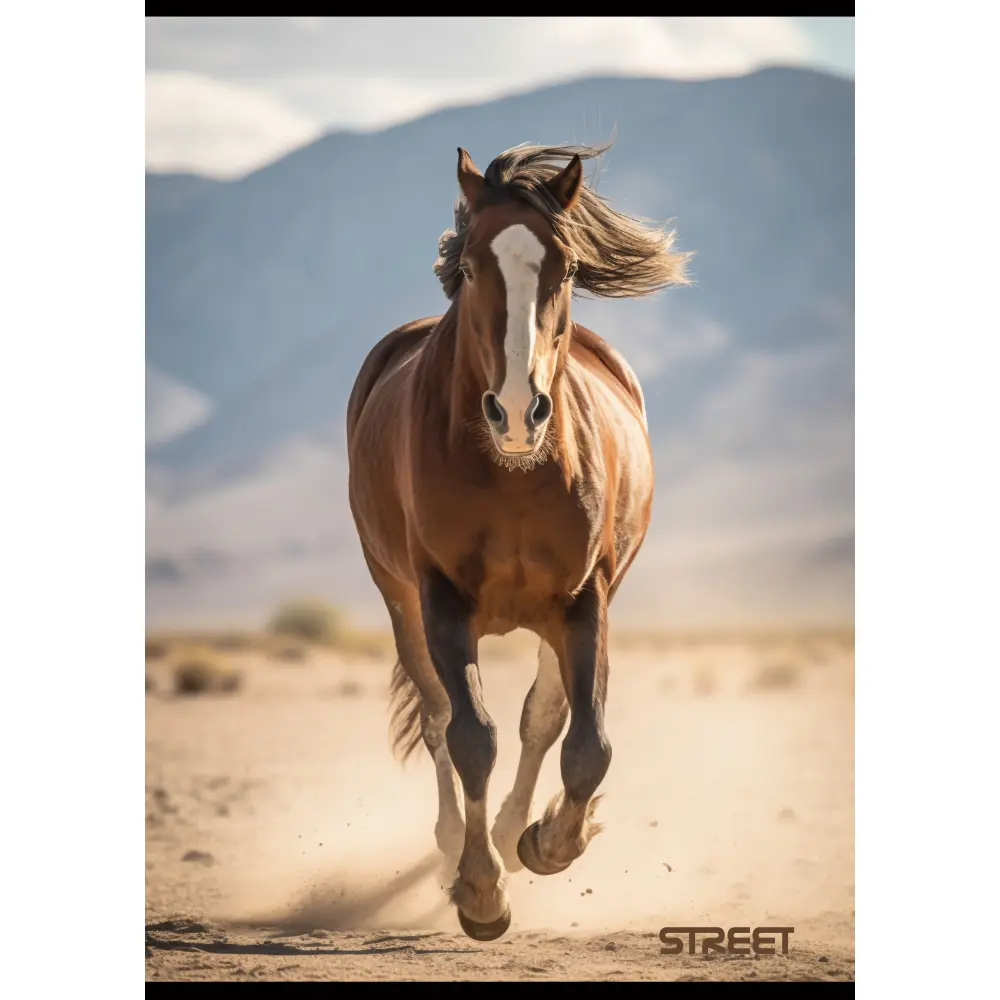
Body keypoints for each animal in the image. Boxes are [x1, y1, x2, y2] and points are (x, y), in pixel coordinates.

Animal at [346, 142, 689, 941]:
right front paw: (480, 890)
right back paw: (454, 848)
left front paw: (547, 842)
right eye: (473, 267)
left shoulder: (584, 599)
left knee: (543, 718)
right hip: (396, 595)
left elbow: (584, 743)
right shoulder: (440, 599)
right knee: (438, 717)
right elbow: (471, 734)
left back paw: (510, 831)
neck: (511, 473)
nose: (515, 412)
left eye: (563, 269)